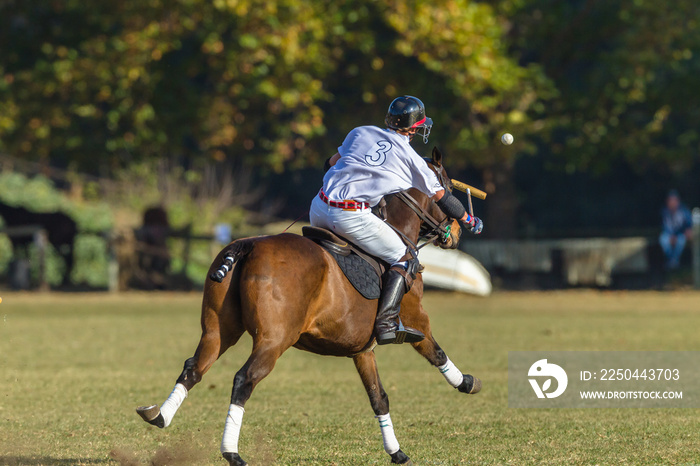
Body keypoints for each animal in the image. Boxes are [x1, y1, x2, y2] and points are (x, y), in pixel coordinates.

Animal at [135, 148, 482, 462]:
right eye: (447, 187)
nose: (457, 232)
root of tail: (248, 244)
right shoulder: (414, 317)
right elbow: (435, 351)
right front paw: (467, 382)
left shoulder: (362, 350)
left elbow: (378, 396)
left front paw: (396, 452)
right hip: (274, 339)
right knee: (245, 378)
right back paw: (231, 452)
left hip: (218, 330)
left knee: (194, 367)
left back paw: (159, 416)